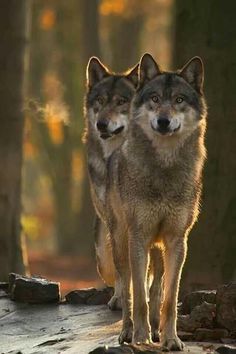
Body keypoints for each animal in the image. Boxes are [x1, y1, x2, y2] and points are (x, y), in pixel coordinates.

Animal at [106, 52, 207, 348]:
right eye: (154, 98)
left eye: (179, 100)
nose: (163, 121)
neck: (164, 168)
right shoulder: (138, 237)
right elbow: (138, 297)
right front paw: (141, 338)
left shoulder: (177, 240)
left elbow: (169, 299)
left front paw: (171, 339)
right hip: (121, 243)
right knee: (126, 290)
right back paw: (128, 332)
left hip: (159, 248)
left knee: (157, 287)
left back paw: (155, 330)